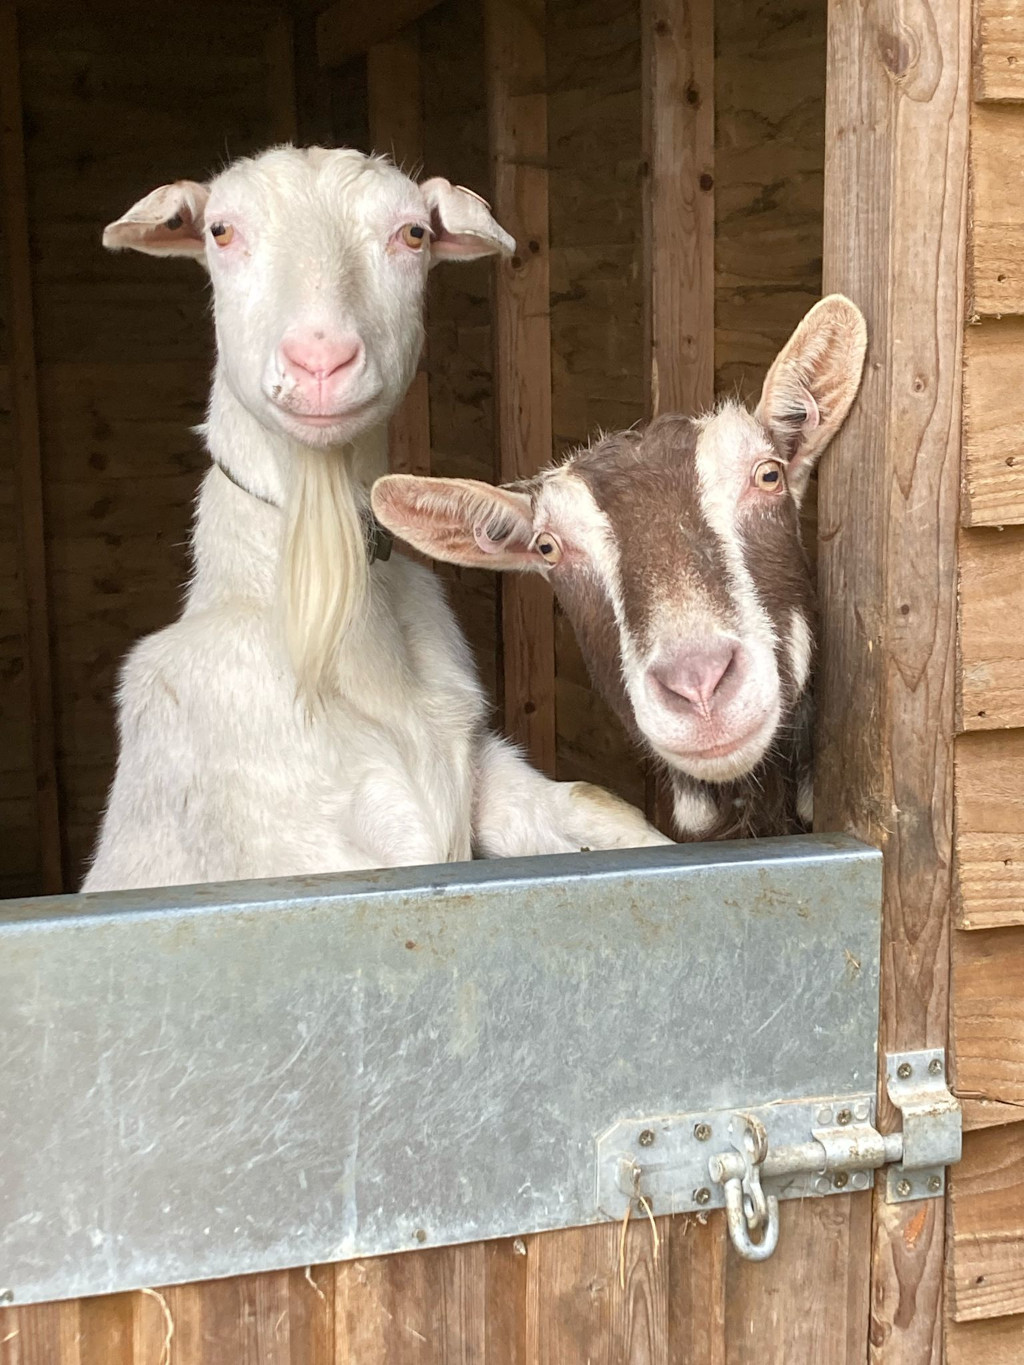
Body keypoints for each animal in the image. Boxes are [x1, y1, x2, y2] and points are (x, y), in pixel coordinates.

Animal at [83, 146, 667, 892]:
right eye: (220, 231)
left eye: (412, 234)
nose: (320, 360)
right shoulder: (301, 839)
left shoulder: (478, 769)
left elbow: (596, 805)